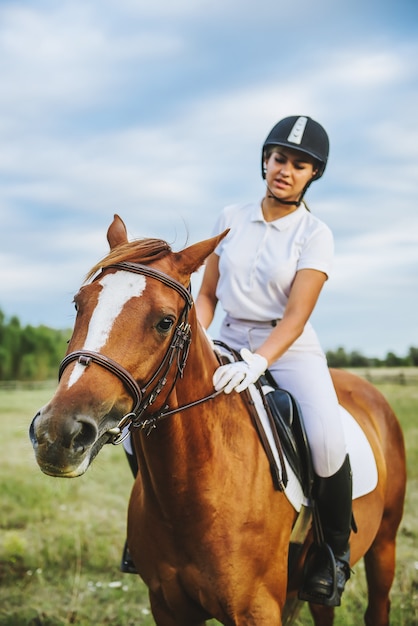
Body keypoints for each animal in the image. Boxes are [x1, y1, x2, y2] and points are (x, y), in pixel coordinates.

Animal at [30, 214, 404, 624]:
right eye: (78, 304)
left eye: (165, 322)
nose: (58, 435)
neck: (193, 495)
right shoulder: (167, 606)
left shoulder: (257, 609)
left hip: (384, 545)